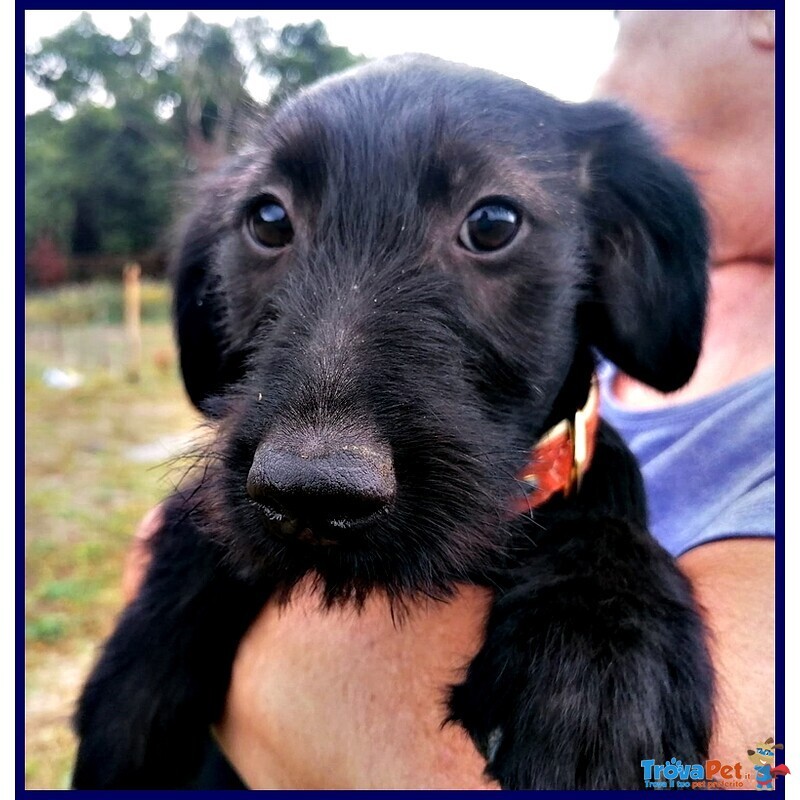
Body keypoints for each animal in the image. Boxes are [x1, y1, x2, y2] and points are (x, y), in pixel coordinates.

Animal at [73, 56, 712, 788]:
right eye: (268, 218)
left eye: (493, 223)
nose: (310, 494)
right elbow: (200, 517)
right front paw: (134, 676)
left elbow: (606, 518)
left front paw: (601, 655)